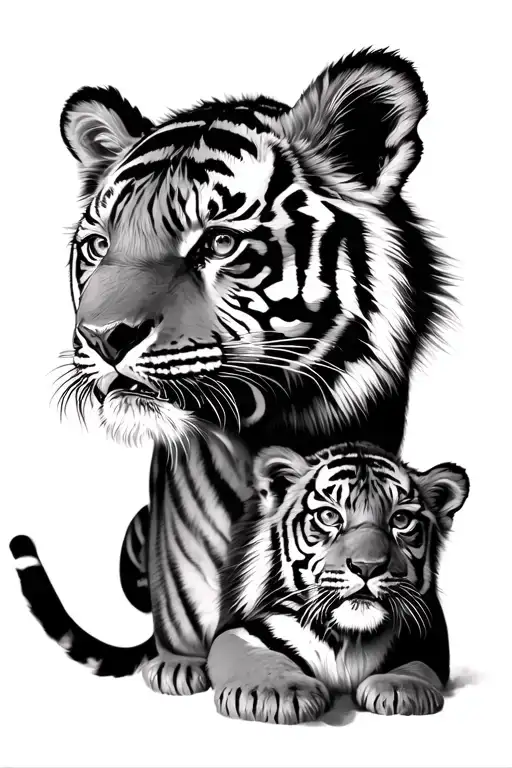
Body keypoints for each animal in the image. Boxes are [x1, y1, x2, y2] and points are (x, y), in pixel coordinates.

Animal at [208, 441, 469, 724]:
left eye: (401, 520)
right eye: (329, 516)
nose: (367, 566)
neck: (348, 638)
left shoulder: (428, 636)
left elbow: (417, 664)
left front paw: (400, 687)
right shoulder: (241, 625)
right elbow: (249, 650)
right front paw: (276, 691)